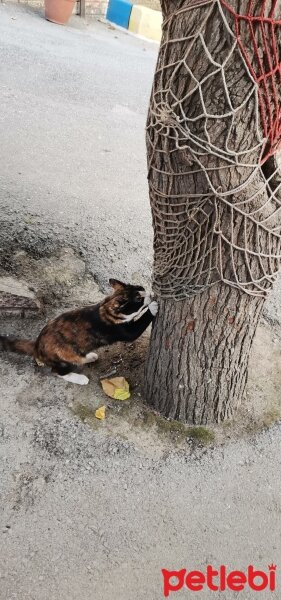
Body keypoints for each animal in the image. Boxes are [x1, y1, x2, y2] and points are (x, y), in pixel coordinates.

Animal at [0, 280, 158, 386]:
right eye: (138, 299)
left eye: (141, 288)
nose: (151, 294)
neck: (106, 307)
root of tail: (37, 346)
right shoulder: (121, 330)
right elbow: (137, 326)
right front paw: (153, 307)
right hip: (63, 358)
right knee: (56, 372)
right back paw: (79, 378)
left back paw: (90, 357)